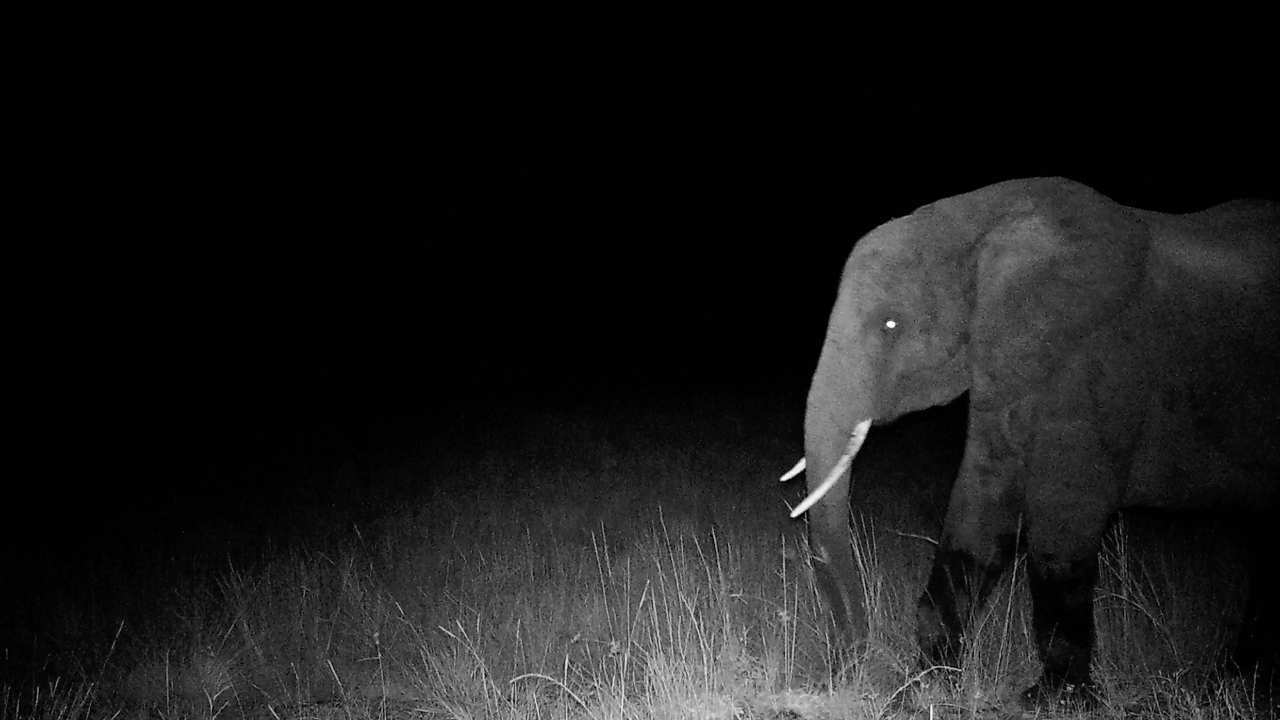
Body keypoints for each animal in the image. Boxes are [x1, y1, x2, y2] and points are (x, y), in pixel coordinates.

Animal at [781, 177, 1279, 707]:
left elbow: (1064, 523)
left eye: (890, 325)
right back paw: (1237, 681)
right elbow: (981, 509)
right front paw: (925, 686)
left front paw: (1052, 699)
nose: (846, 669)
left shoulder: (1094, 361)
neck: (979, 222)